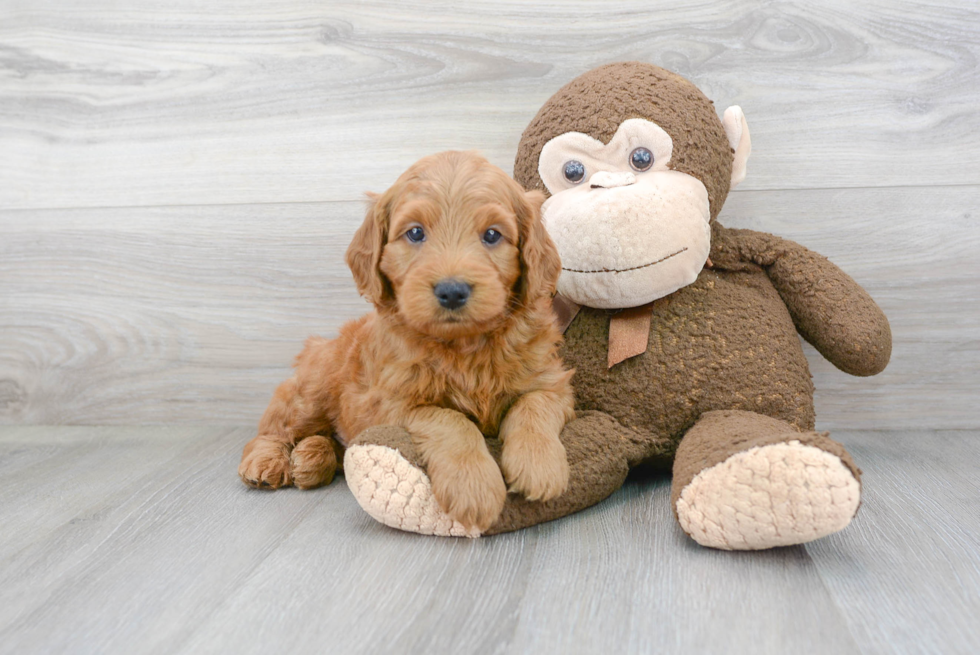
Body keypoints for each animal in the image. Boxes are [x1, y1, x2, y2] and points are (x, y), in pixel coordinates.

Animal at [238, 150, 576, 532]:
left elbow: (533, 404)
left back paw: (312, 459)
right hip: (310, 390)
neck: (464, 346)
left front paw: (539, 465)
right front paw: (473, 486)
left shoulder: (553, 382)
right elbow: (449, 419)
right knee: (272, 427)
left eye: (492, 235)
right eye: (415, 233)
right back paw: (266, 462)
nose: (452, 291)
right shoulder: (392, 403)